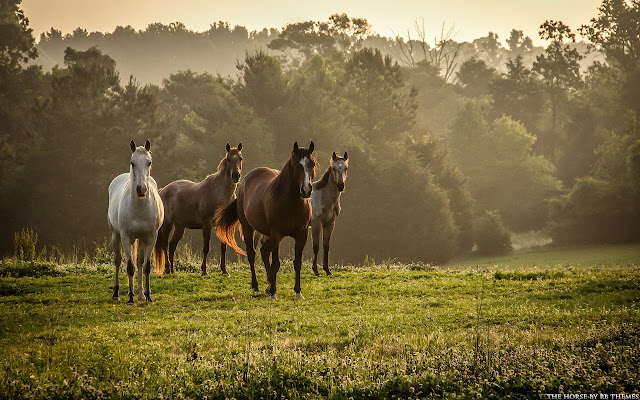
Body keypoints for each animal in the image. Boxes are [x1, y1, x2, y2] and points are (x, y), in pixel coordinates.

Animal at [107, 139, 164, 304]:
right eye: (132, 162)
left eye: (149, 162)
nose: (141, 189)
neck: (139, 208)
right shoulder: (126, 237)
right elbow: (130, 267)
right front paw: (130, 298)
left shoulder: (150, 237)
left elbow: (145, 266)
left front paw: (148, 296)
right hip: (116, 235)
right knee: (118, 261)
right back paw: (117, 293)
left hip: (141, 239)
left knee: (139, 262)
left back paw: (141, 294)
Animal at [154, 142, 242, 276]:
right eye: (228, 159)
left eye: (240, 158)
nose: (236, 176)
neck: (220, 194)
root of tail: (163, 190)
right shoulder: (207, 225)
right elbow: (206, 248)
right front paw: (204, 270)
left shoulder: (222, 225)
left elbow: (224, 248)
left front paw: (224, 271)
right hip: (167, 224)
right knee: (165, 245)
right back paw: (167, 269)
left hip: (180, 227)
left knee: (172, 245)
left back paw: (173, 271)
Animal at [215, 142, 316, 298]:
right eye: (296, 165)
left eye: (312, 163)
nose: (306, 190)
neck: (291, 204)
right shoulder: (277, 234)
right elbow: (275, 263)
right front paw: (273, 291)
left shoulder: (301, 235)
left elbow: (297, 262)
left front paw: (298, 291)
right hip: (249, 228)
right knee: (252, 254)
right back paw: (256, 286)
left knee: (264, 252)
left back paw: (268, 285)